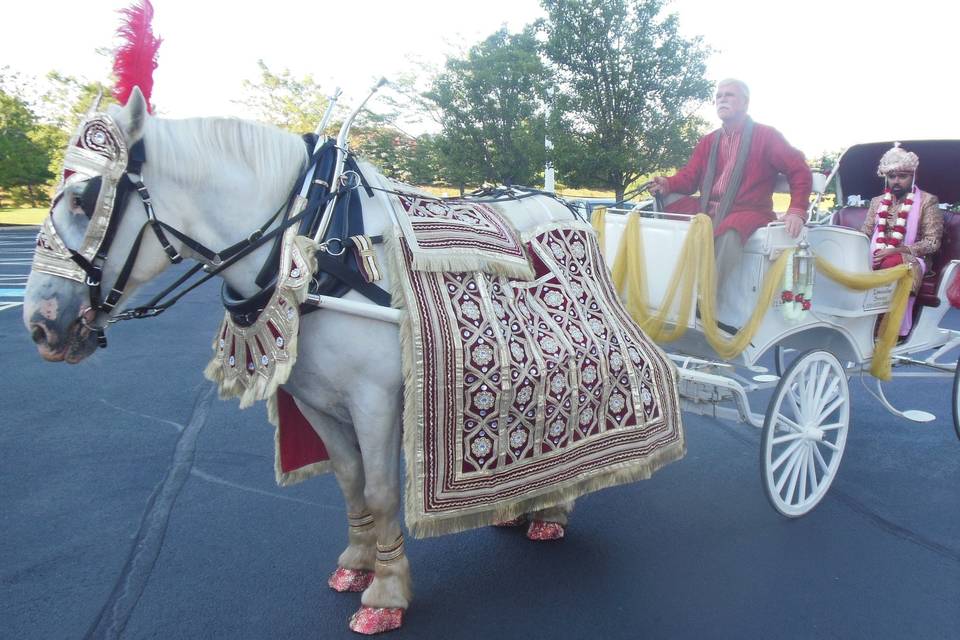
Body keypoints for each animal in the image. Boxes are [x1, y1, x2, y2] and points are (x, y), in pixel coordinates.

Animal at [24, 87, 568, 632]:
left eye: (83, 198)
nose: (41, 324)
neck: (315, 247)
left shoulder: (375, 402)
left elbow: (381, 491)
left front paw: (387, 594)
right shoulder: (314, 400)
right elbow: (350, 478)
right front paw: (356, 563)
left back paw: (551, 512)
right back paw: (530, 506)